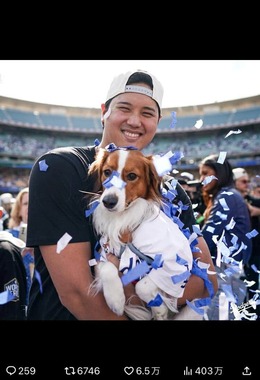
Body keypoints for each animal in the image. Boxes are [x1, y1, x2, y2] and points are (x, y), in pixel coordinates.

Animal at [87, 147, 193, 320]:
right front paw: (115, 300)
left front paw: (159, 308)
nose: (108, 202)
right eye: (107, 172)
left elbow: (143, 285)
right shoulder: (104, 252)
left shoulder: (178, 263)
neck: (123, 220)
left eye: (131, 176)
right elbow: (107, 268)